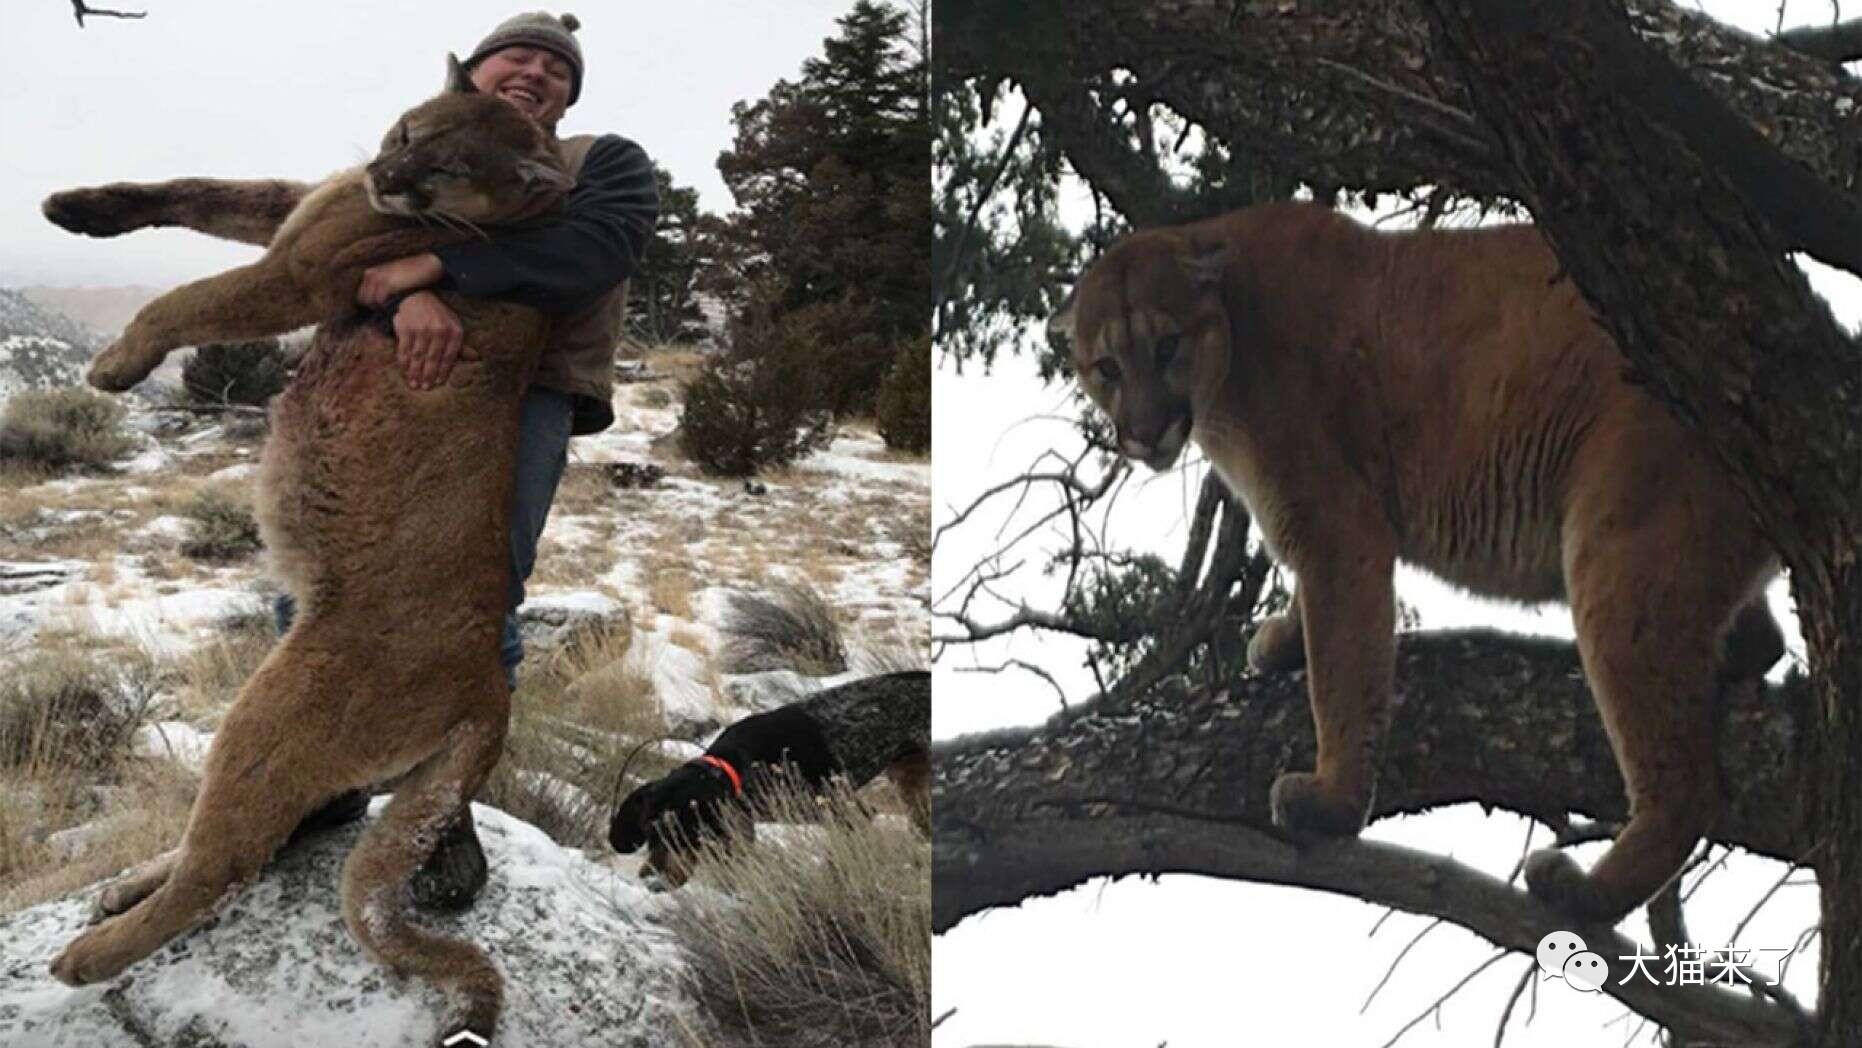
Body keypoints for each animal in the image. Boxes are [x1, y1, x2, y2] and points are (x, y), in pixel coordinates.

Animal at [38, 55, 573, 1042]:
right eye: (408, 132)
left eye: (449, 165)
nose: (386, 176)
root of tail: (490, 687)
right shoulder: (299, 205)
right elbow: (202, 188)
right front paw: (81, 208)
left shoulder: (303, 271)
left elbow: (185, 299)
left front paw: (115, 366)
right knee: (220, 843)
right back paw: (124, 892)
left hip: (276, 709)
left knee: (224, 863)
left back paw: (87, 956)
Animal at [610, 673, 931, 886]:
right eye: (649, 833)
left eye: (687, 835)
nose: (651, 883)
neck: (740, 765)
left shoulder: (848, 812)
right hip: (910, 783)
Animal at [1057, 202, 1780, 927]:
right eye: (1107, 367)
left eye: (1167, 346)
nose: (1145, 431)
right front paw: (1285, 637)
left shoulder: (1336, 531)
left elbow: (1344, 674)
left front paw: (1334, 801)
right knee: (1762, 645)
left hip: (1618, 551)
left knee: (1689, 789)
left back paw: (1583, 892)